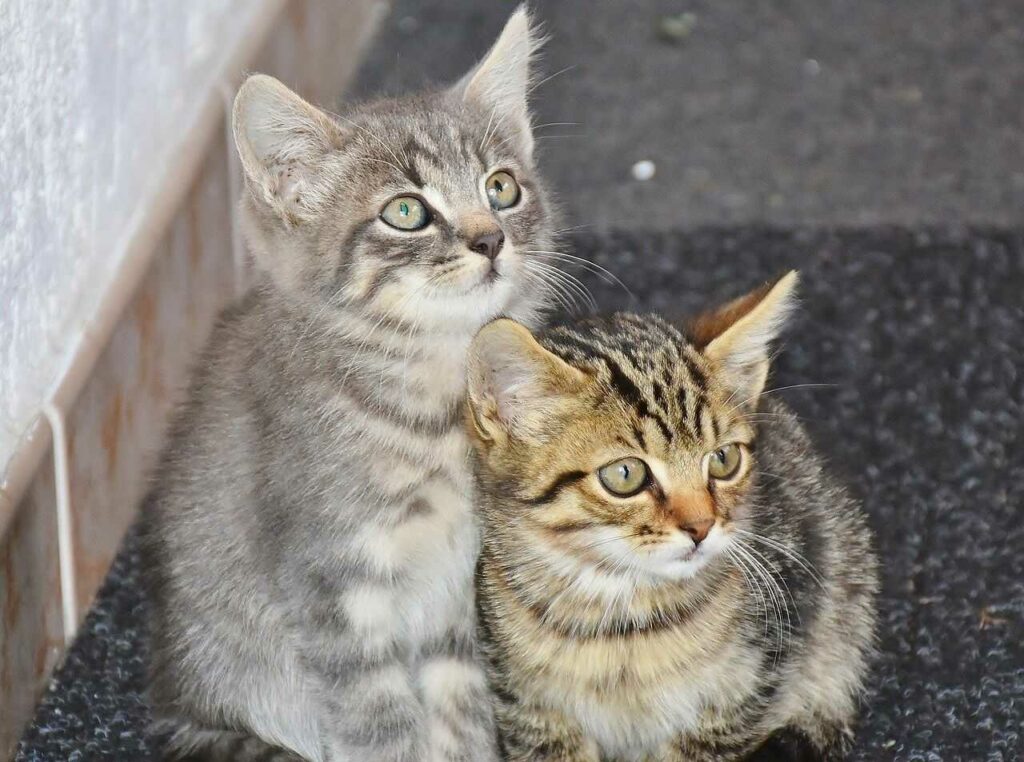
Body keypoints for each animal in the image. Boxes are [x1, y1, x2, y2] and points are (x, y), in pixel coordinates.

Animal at [141, 7, 557, 762]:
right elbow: (380, 723)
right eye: (406, 212)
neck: (434, 408)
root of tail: (177, 701)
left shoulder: (455, 593)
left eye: (502, 188)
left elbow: (463, 711)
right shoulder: (334, 586)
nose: (490, 240)